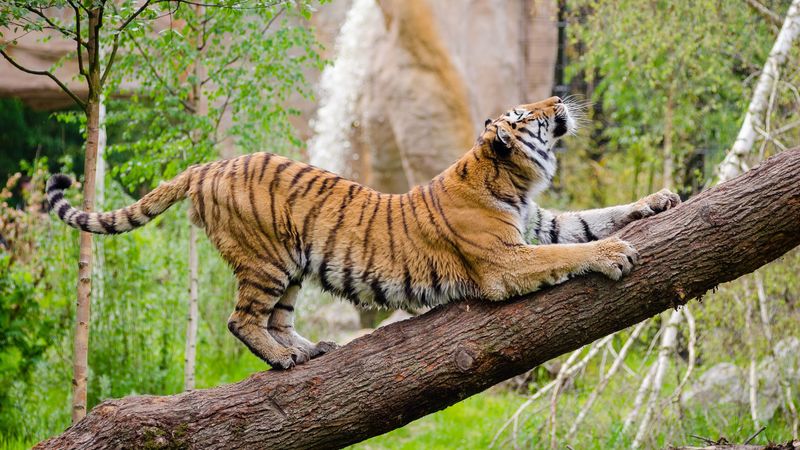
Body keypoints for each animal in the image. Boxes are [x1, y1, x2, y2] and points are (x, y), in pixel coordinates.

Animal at [46, 96, 680, 370]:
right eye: (528, 115)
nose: (558, 99)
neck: (514, 180)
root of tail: (208, 165)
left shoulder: (539, 224)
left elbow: (592, 217)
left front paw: (659, 199)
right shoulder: (504, 261)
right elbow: (577, 247)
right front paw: (615, 254)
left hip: (293, 269)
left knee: (278, 319)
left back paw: (307, 350)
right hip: (268, 260)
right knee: (241, 319)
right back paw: (282, 361)